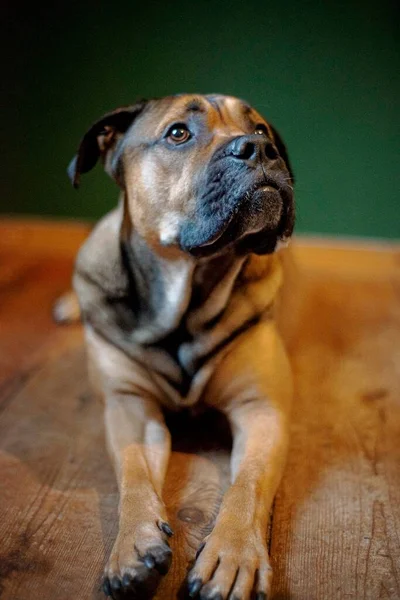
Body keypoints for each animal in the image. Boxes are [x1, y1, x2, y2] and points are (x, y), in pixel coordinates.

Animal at [61, 94, 294, 600]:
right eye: (178, 134)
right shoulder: (129, 406)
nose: (259, 149)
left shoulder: (260, 409)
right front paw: (132, 546)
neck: (188, 296)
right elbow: (133, 473)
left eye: (261, 131)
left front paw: (233, 555)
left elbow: (246, 484)